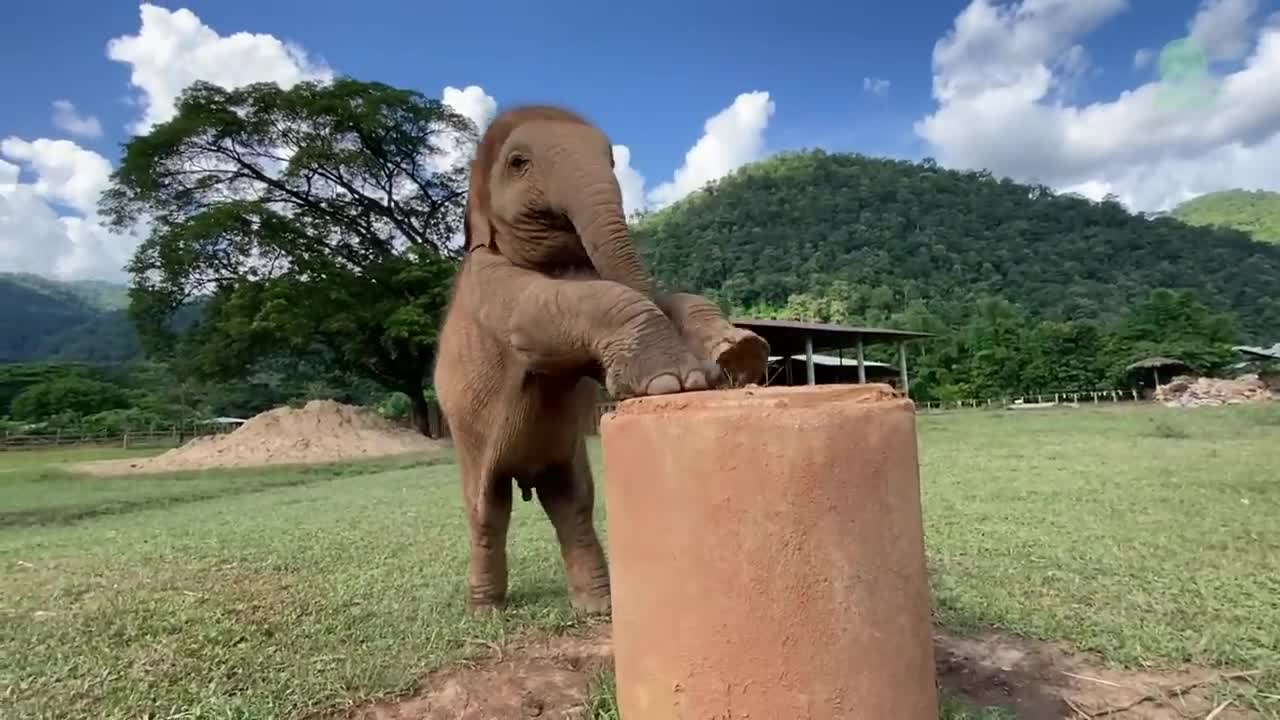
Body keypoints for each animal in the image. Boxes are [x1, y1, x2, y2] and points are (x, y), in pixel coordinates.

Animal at [435, 103, 762, 614]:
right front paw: (675, 381)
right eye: (519, 162)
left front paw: (738, 353)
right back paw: (485, 611)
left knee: (572, 503)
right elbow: (548, 315)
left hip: (567, 451)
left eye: (612, 160)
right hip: (467, 441)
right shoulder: (490, 288)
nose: (714, 374)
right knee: (487, 510)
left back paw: (598, 607)